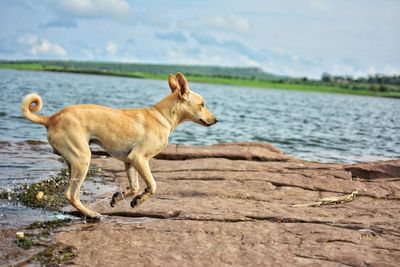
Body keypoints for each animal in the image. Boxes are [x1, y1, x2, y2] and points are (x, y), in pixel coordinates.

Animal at [20, 73, 217, 220]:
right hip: (83, 159)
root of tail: (50, 119)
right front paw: (139, 200)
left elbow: (134, 186)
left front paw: (119, 198)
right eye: (202, 104)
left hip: (74, 161)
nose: (216, 120)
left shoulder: (129, 161)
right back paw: (92, 214)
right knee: (71, 194)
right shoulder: (140, 158)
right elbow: (152, 185)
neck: (163, 117)